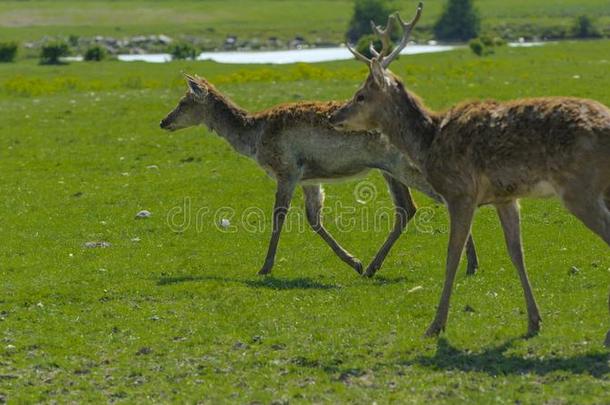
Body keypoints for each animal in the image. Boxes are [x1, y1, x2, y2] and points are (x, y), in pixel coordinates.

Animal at [160, 73, 480, 274]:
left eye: (183, 101)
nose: (164, 121)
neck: (254, 138)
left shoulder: (286, 169)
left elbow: (279, 216)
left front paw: (265, 266)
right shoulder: (308, 178)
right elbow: (314, 219)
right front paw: (354, 261)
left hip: (405, 166)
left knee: (443, 199)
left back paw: (471, 263)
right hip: (390, 170)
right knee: (407, 208)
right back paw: (373, 266)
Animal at [328, 3, 608, 344]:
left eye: (360, 96)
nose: (333, 116)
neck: (429, 141)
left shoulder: (460, 192)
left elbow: (452, 256)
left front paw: (435, 326)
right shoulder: (505, 197)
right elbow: (516, 252)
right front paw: (533, 321)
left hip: (581, 188)